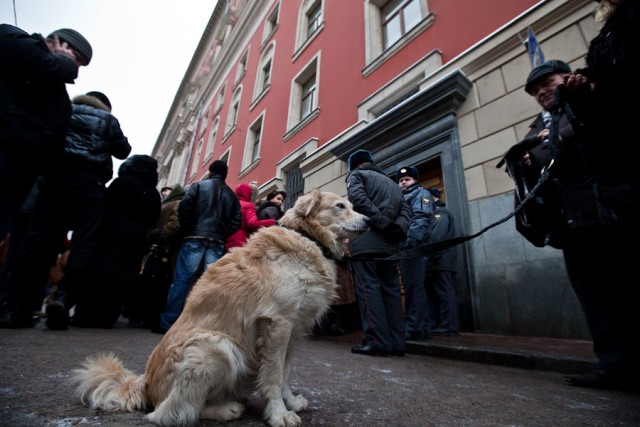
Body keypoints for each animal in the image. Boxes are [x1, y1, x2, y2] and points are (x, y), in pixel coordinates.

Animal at [70, 191, 368, 427]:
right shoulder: (277, 323)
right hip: (213, 347)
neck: (307, 238)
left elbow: (284, 373)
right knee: (170, 413)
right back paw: (225, 410)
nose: (369, 220)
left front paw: (291, 402)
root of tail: (145, 384)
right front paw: (278, 414)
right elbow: (272, 376)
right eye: (341, 205)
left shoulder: (292, 330)